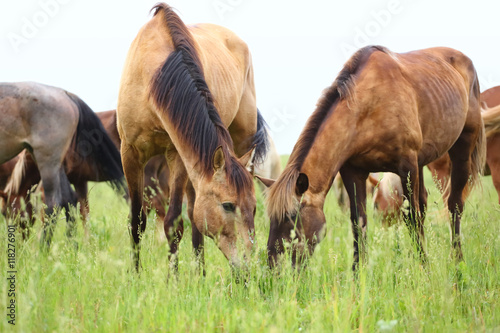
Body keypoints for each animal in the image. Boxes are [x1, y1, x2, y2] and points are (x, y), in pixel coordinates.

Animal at [117, 3, 268, 270]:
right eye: (228, 205)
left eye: (254, 208)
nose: (249, 265)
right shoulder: (130, 152)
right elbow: (137, 221)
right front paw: (135, 274)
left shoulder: (177, 154)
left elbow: (174, 223)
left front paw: (174, 278)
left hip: (237, 141)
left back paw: (200, 272)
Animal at [260, 46, 486, 270]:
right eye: (270, 218)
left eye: (291, 217)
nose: (274, 268)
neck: (369, 106)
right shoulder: (353, 172)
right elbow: (358, 223)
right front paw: (358, 273)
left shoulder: (407, 166)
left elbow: (412, 218)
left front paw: (424, 268)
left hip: (462, 148)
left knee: (454, 205)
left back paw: (457, 260)